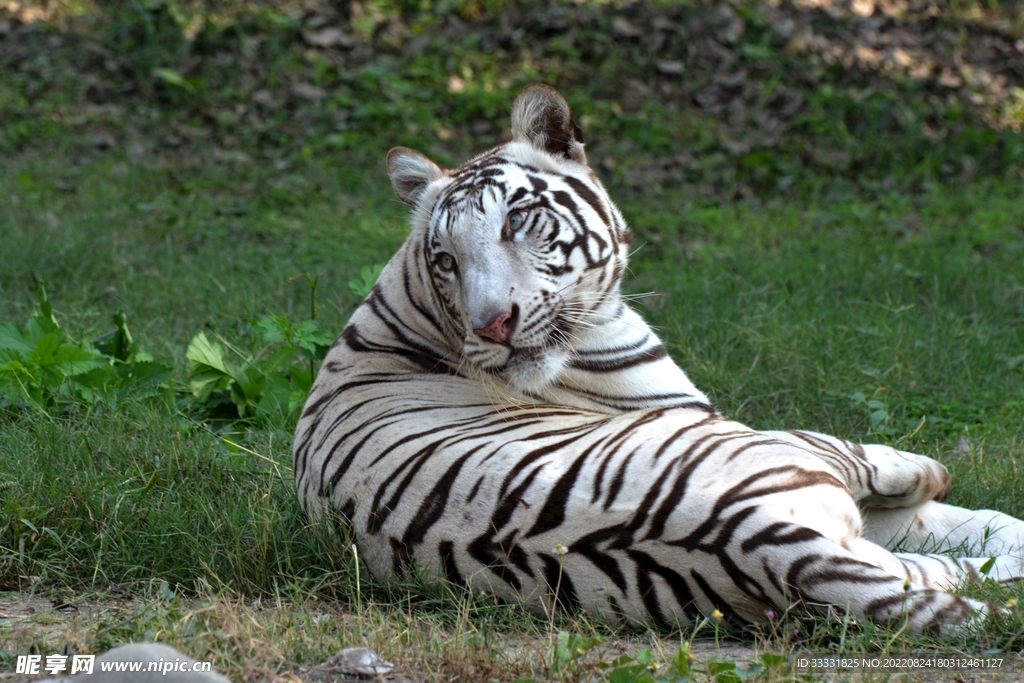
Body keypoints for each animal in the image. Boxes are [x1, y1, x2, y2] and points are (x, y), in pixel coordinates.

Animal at [293, 84, 1024, 633]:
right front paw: (943, 482)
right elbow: (926, 495)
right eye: (446, 258)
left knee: (940, 568)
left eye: (515, 221)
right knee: (902, 493)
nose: (491, 325)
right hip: (780, 445)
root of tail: (766, 544)